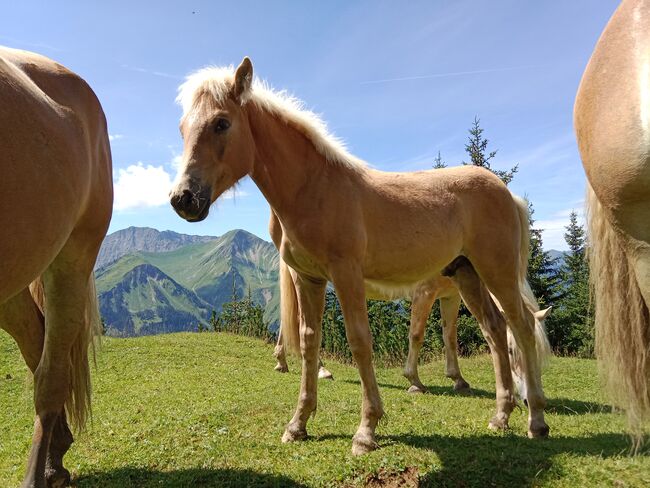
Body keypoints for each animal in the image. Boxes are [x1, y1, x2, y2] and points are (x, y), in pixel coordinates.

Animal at [171, 60, 548, 454]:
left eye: (221, 123)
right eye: (183, 128)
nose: (183, 199)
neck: (315, 188)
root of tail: (507, 193)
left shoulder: (347, 274)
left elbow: (359, 340)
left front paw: (366, 430)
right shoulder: (309, 279)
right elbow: (309, 340)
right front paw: (298, 424)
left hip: (496, 271)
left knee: (520, 325)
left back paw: (536, 419)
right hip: (467, 275)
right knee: (495, 329)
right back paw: (501, 415)